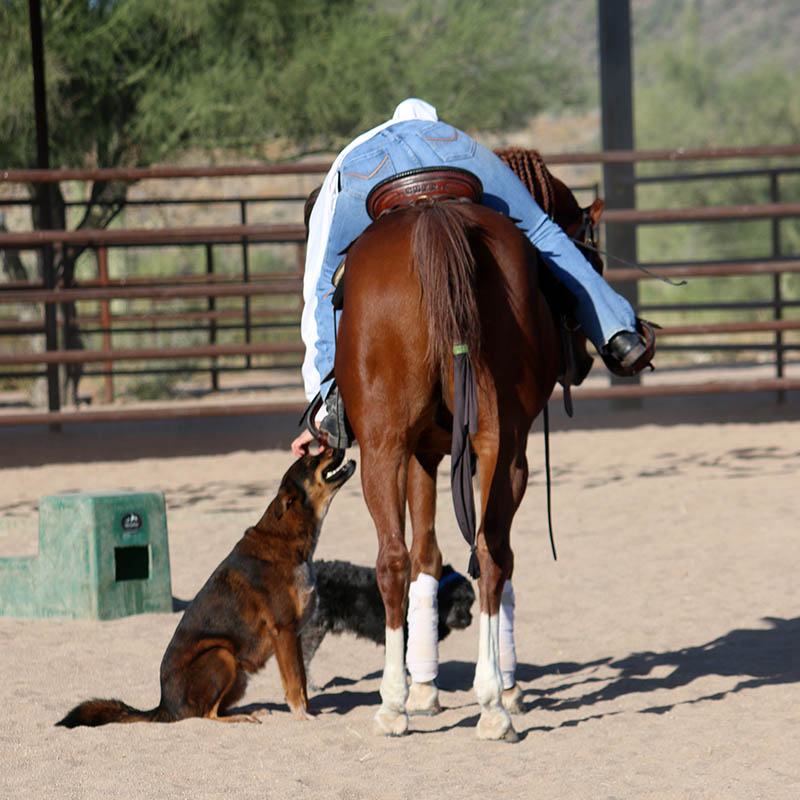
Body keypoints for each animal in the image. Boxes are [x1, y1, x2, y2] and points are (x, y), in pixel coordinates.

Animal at [57, 448, 355, 728]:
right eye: (312, 459)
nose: (339, 445)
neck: (286, 538)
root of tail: (164, 706)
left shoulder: (295, 635)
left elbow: (302, 680)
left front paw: (307, 710)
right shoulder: (283, 631)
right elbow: (293, 682)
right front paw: (301, 715)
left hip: (238, 673)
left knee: (214, 710)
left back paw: (251, 711)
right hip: (221, 656)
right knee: (206, 715)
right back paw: (240, 718)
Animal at [329, 151, 603, 741]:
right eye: (590, 257)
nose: (584, 362)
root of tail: (432, 217)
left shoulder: (423, 454)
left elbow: (428, 558)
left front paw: (427, 689)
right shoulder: (452, 454)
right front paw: (493, 686)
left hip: (388, 446)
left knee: (400, 559)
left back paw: (398, 704)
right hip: (502, 446)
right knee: (489, 554)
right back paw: (490, 702)